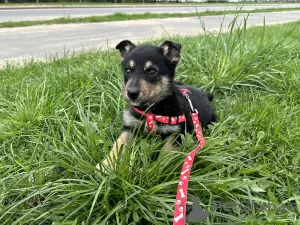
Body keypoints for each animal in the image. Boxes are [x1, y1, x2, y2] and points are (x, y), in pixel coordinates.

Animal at [100, 40, 216, 169]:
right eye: (128, 70)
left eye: (152, 71)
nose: (131, 93)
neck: (151, 109)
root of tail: (205, 93)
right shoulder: (130, 127)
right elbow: (118, 144)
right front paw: (105, 165)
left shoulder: (179, 132)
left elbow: (167, 151)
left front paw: (159, 168)